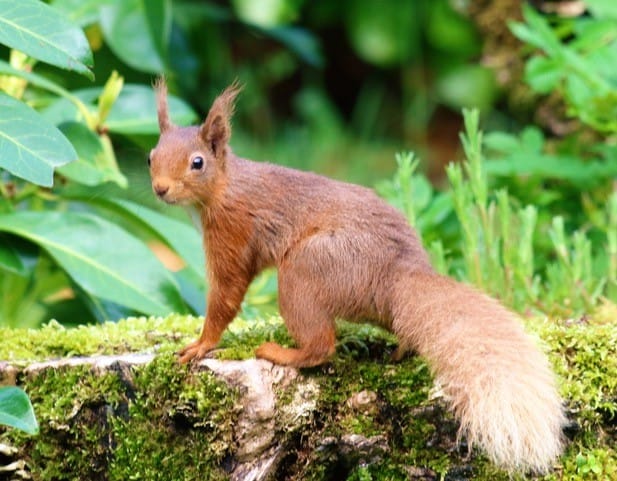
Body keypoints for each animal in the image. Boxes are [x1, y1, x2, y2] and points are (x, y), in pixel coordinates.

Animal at [148, 79, 564, 472]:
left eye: (197, 162)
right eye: (152, 155)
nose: (160, 189)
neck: (224, 187)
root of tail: (400, 270)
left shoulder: (232, 231)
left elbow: (227, 292)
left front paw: (202, 344)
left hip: (307, 268)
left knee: (321, 345)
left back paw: (283, 352)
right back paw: (399, 349)